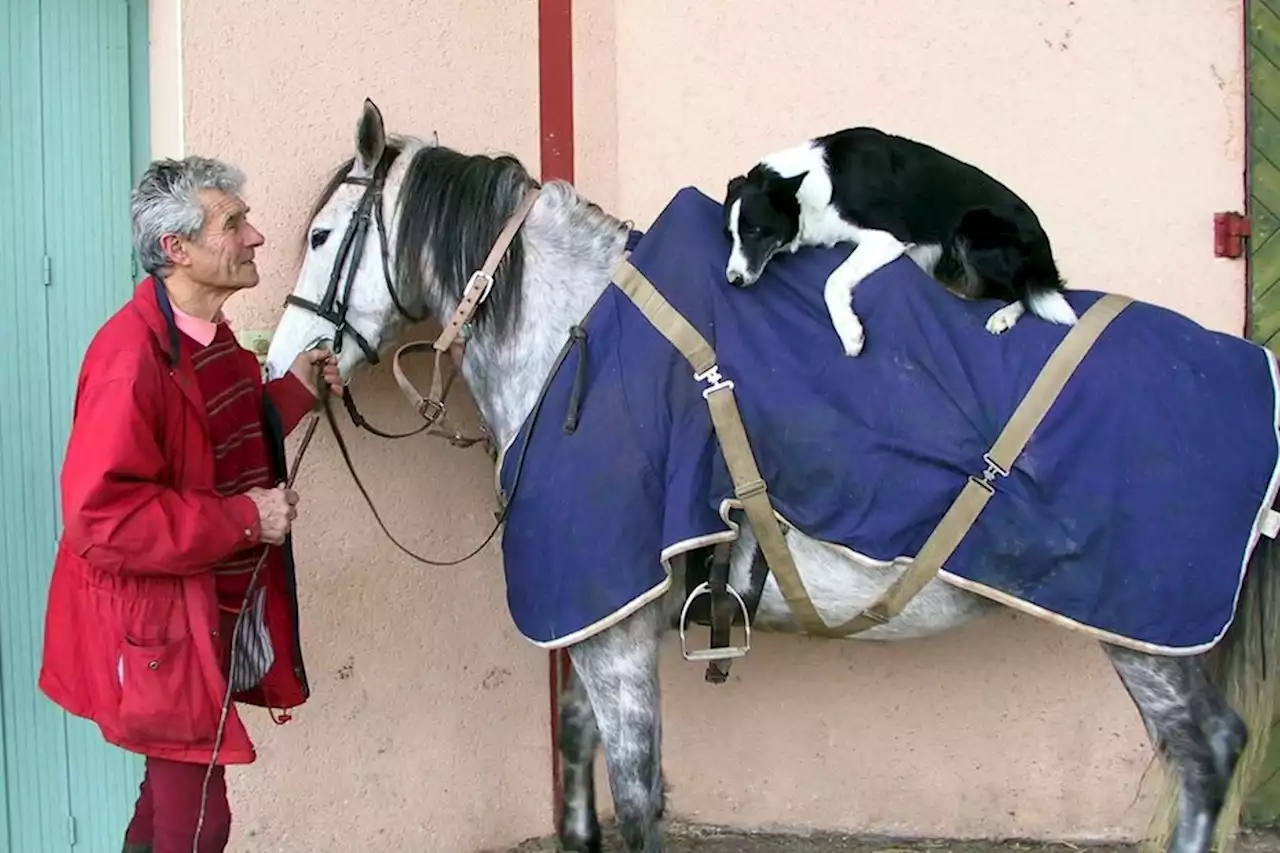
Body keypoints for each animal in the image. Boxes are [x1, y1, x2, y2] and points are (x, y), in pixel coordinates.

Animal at [727, 126, 1075, 356]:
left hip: (973, 231)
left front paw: (849, 333)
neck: (806, 186)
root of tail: (1044, 245)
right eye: (729, 235)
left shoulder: (888, 238)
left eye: (754, 231)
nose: (732, 280)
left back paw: (1004, 315)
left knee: (1026, 290)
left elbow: (833, 280)